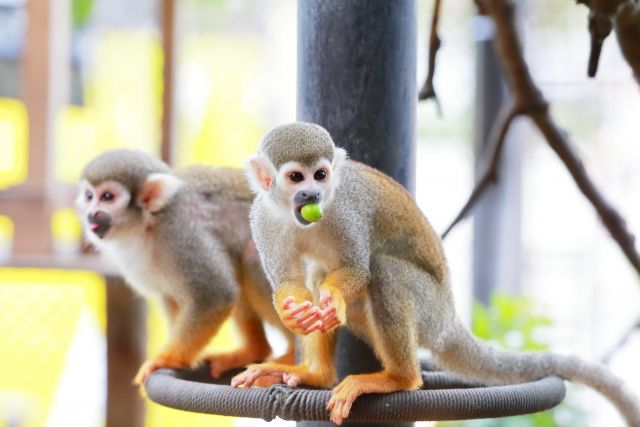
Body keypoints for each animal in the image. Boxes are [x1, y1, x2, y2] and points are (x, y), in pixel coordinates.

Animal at [77, 150, 296, 388]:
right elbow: (175, 297)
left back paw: (292, 358)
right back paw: (254, 350)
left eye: (107, 197)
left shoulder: (180, 232)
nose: (91, 214)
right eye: (89, 196)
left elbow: (215, 295)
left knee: (251, 255)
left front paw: (165, 359)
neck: (147, 225)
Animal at [231, 123, 640, 427]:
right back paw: (316, 374)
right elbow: (290, 282)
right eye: (295, 177)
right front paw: (294, 313)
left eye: (320, 175)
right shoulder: (262, 218)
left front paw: (333, 297)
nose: (312, 195)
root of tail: (448, 320)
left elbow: (357, 270)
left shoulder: (348, 211)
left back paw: (398, 378)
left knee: (384, 272)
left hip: (429, 311)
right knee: (320, 274)